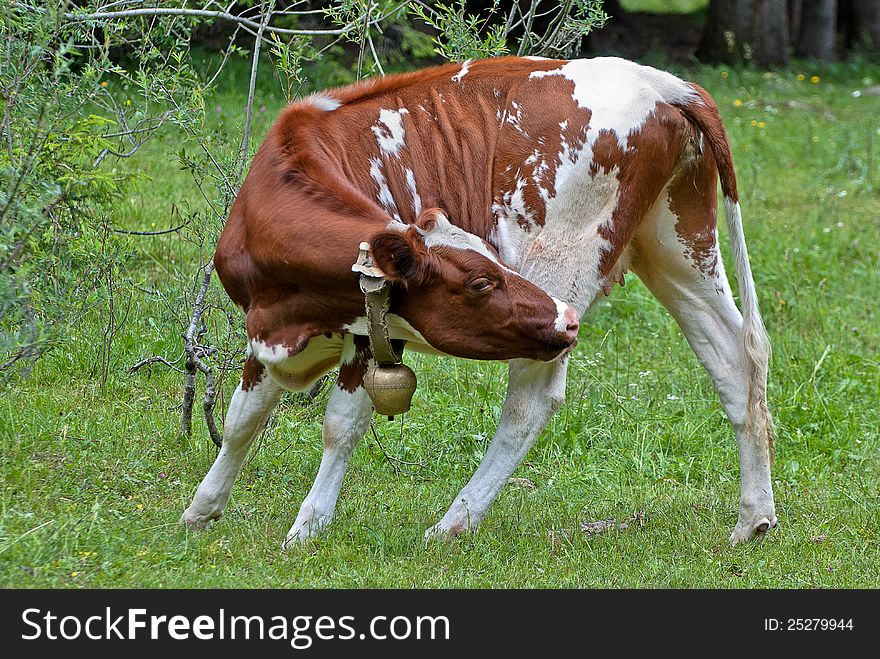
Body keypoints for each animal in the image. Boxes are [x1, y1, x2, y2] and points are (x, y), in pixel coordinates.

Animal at [180, 55, 776, 548]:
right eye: (482, 281)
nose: (566, 319)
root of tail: (663, 82)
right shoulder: (265, 329)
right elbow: (242, 417)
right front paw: (201, 510)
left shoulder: (375, 327)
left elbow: (341, 423)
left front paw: (308, 525)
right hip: (676, 244)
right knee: (736, 360)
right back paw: (753, 518)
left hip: (563, 262)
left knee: (530, 400)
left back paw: (454, 522)